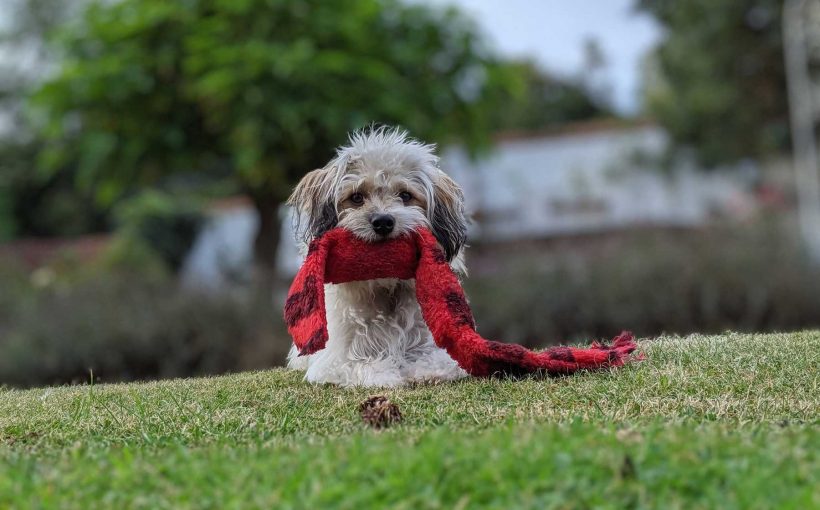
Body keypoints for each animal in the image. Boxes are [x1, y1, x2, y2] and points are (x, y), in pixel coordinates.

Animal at [286, 127, 468, 386]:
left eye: (405, 195)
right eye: (356, 198)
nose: (383, 222)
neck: (385, 292)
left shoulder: (431, 342)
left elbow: (444, 360)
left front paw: (424, 371)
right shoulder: (332, 361)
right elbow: (362, 364)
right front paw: (386, 375)